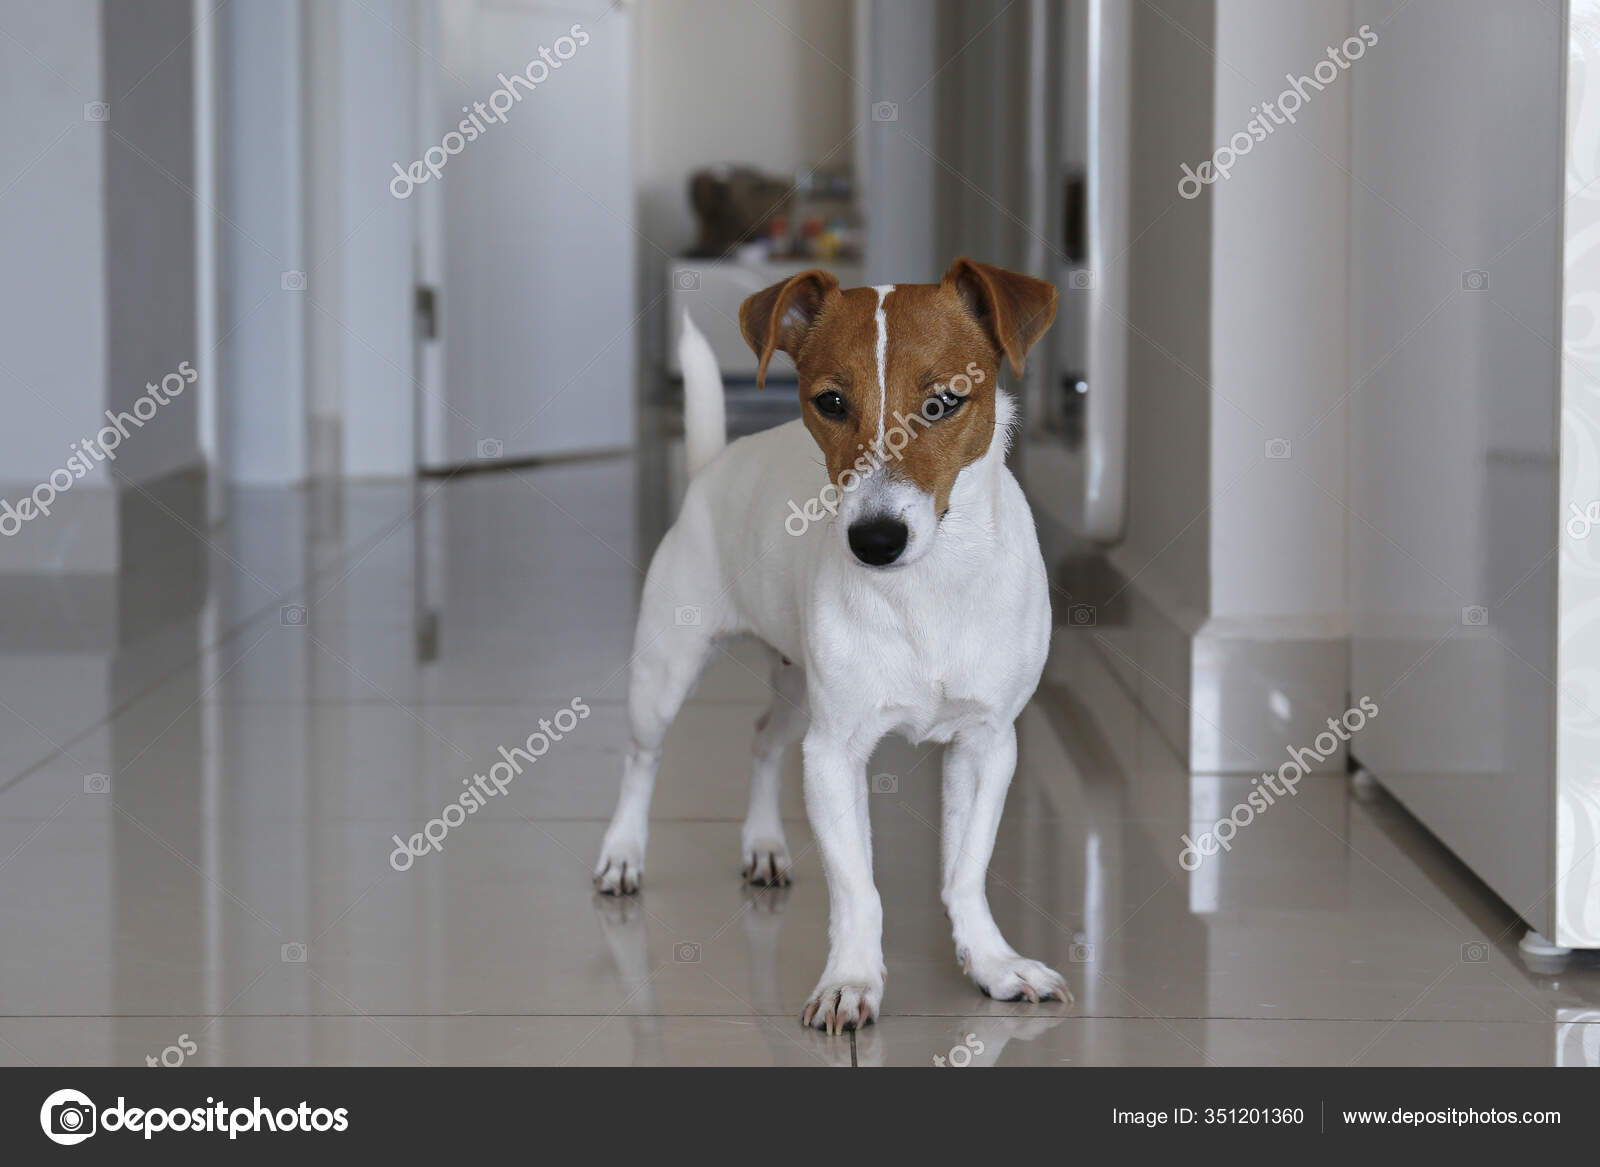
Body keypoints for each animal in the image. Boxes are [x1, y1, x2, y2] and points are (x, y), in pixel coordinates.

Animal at [595, 257, 1068, 1030]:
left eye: (943, 403)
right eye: (832, 402)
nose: (874, 541)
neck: (924, 590)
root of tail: (713, 467)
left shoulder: (987, 743)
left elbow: (966, 871)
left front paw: (991, 963)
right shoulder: (834, 752)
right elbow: (857, 887)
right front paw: (851, 979)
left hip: (796, 690)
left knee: (763, 739)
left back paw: (763, 844)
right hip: (665, 674)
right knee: (642, 760)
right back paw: (623, 854)